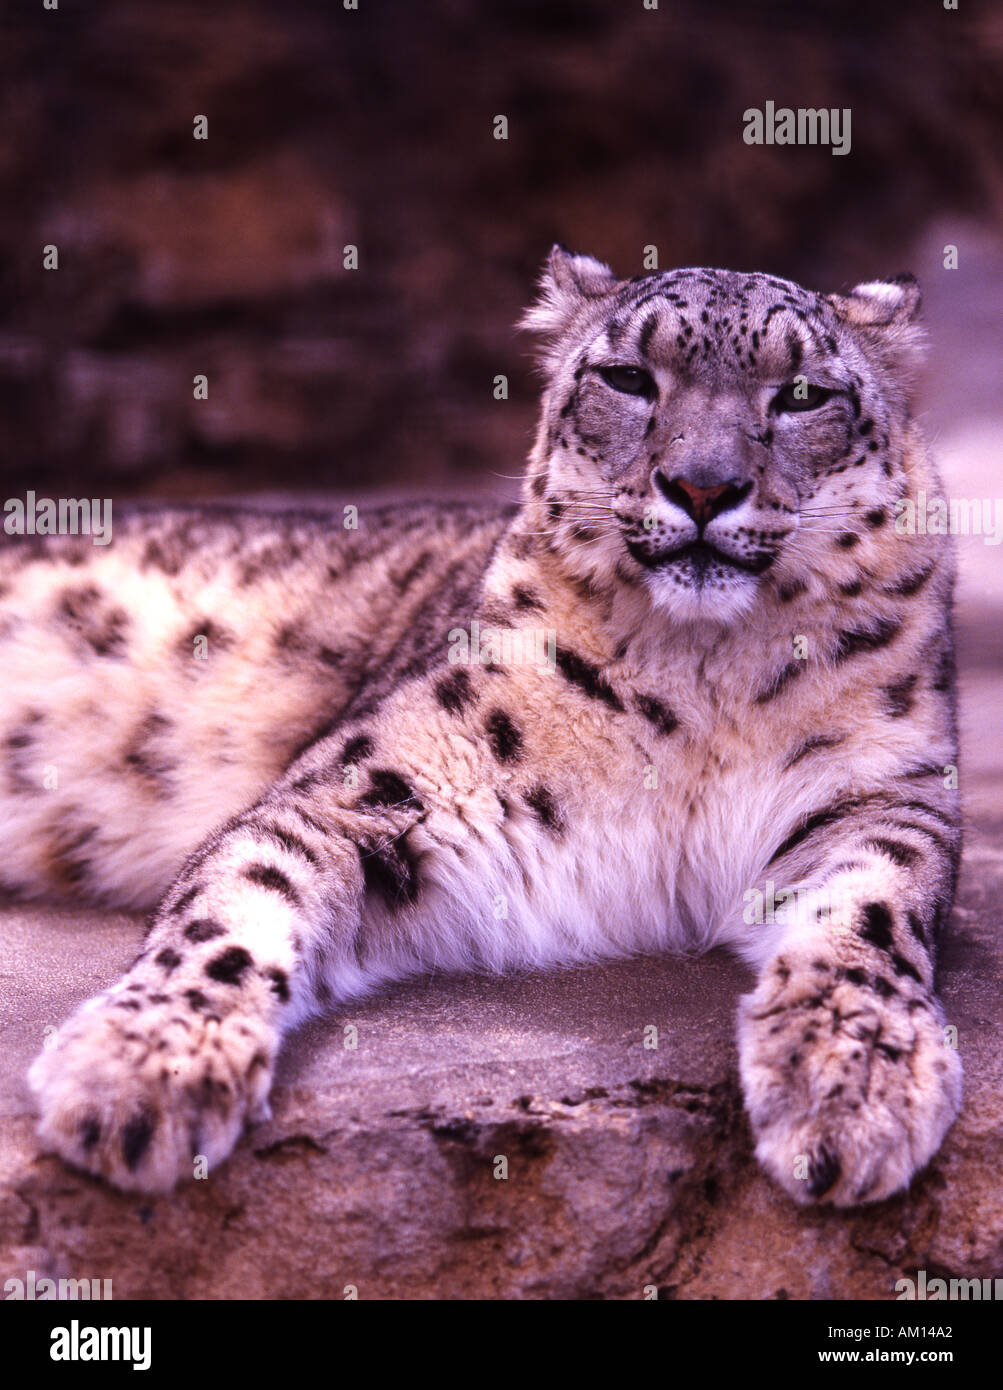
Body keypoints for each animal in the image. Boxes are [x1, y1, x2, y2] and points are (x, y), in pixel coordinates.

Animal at [5, 247, 962, 1206]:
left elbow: (871, 909)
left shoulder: (884, 791)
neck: (702, 681)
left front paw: (852, 1085)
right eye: (627, 378)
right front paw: (142, 1067)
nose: (702, 486)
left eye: (802, 395)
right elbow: (240, 895)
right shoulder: (373, 786)